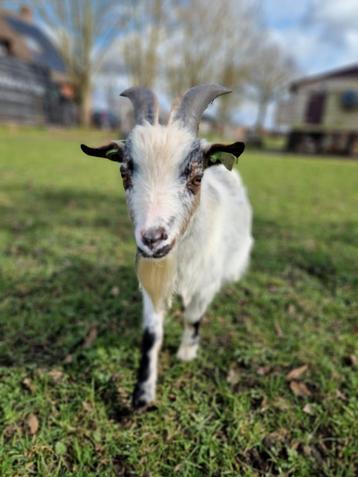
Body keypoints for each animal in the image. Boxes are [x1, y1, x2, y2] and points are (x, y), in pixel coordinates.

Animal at [81, 84, 255, 406]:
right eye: (124, 173)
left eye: (196, 177)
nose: (153, 238)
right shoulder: (152, 279)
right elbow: (151, 334)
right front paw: (142, 395)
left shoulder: (206, 283)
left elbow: (194, 317)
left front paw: (187, 352)